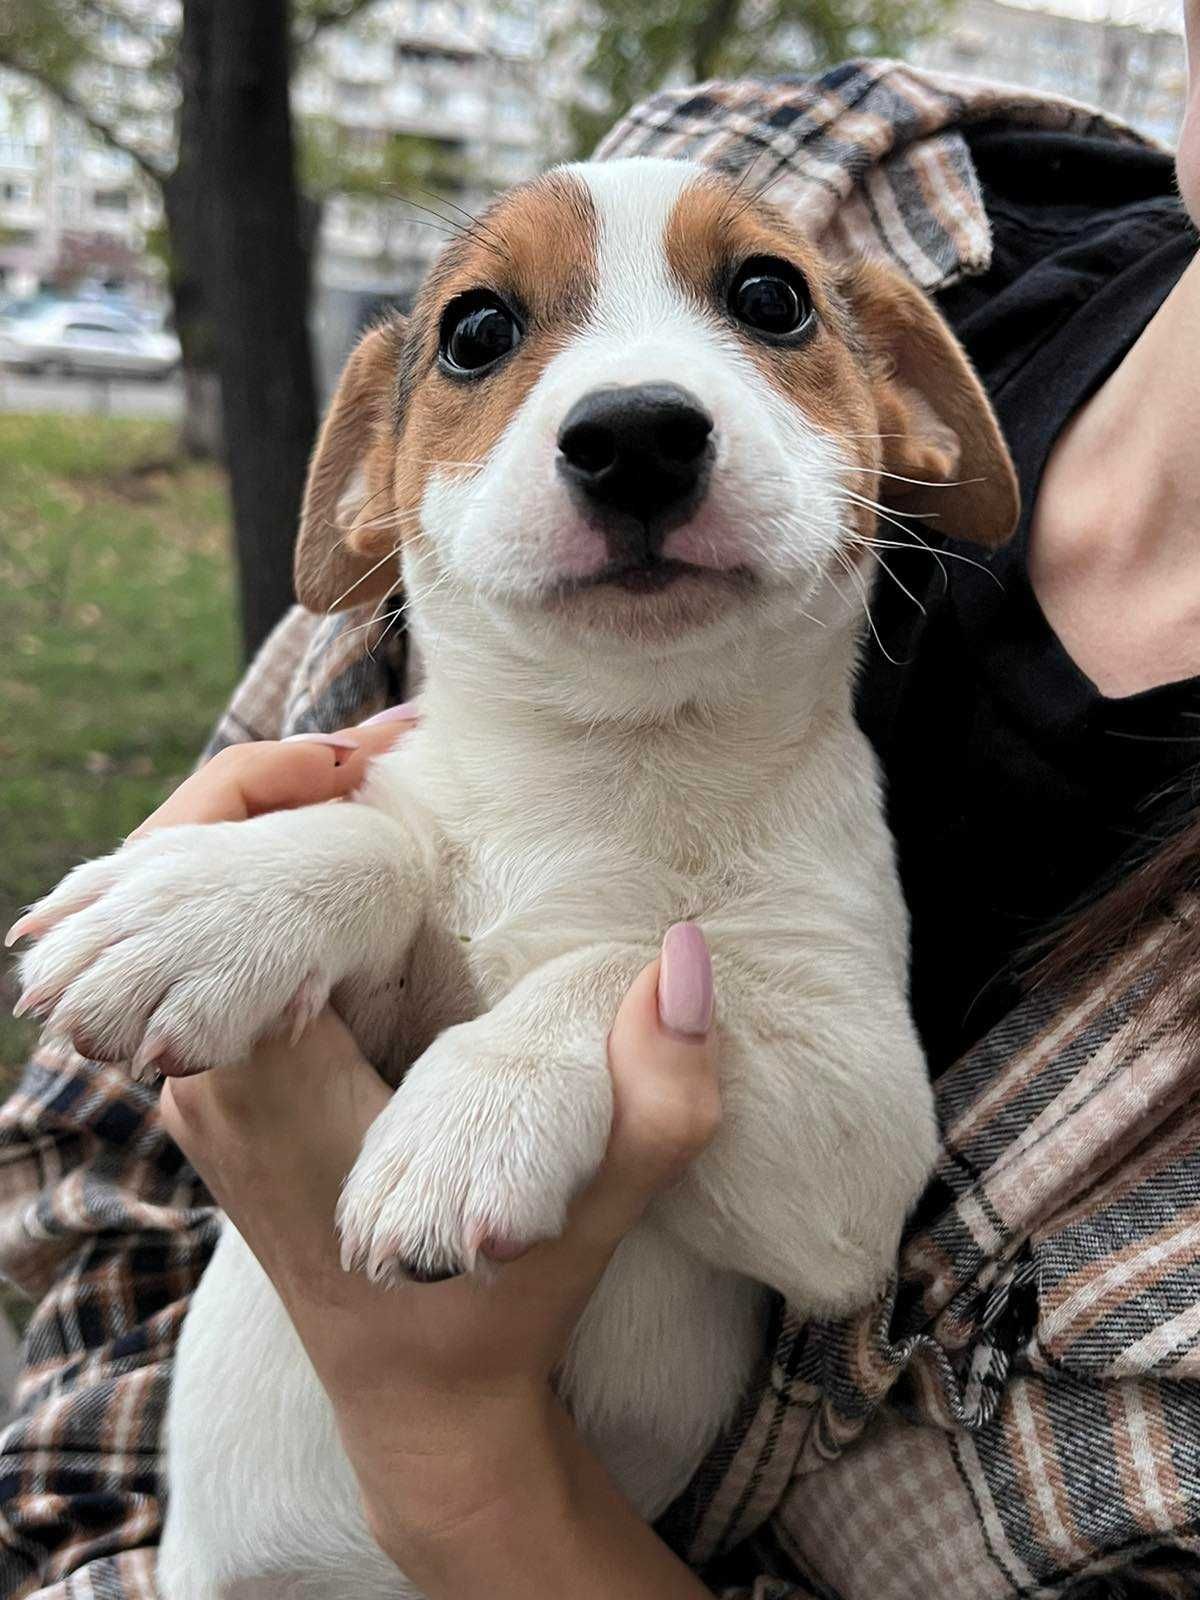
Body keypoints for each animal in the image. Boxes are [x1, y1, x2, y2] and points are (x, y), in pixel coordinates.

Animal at [14, 152, 1017, 1600]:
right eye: (477, 329)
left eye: (771, 297)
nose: (637, 434)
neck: (617, 772)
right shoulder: (382, 973)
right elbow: (380, 838)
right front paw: (210, 900)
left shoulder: (856, 1154)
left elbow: (635, 955)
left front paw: (474, 1111)